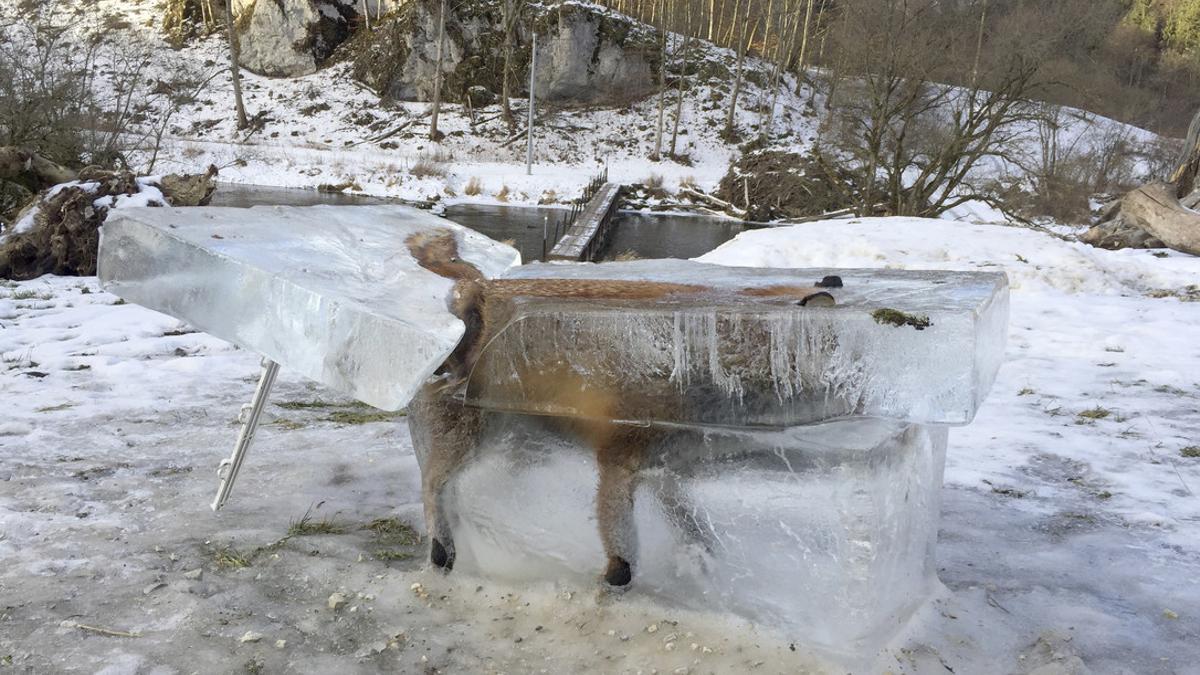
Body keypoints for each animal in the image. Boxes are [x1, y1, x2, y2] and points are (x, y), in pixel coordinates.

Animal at [403, 228, 835, 586]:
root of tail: (480, 287)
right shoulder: (619, 456)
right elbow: (623, 550)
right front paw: (615, 580)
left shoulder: (667, 468)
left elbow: (691, 524)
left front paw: (700, 560)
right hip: (470, 439)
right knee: (433, 486)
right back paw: (443, 549)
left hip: (518, 446)